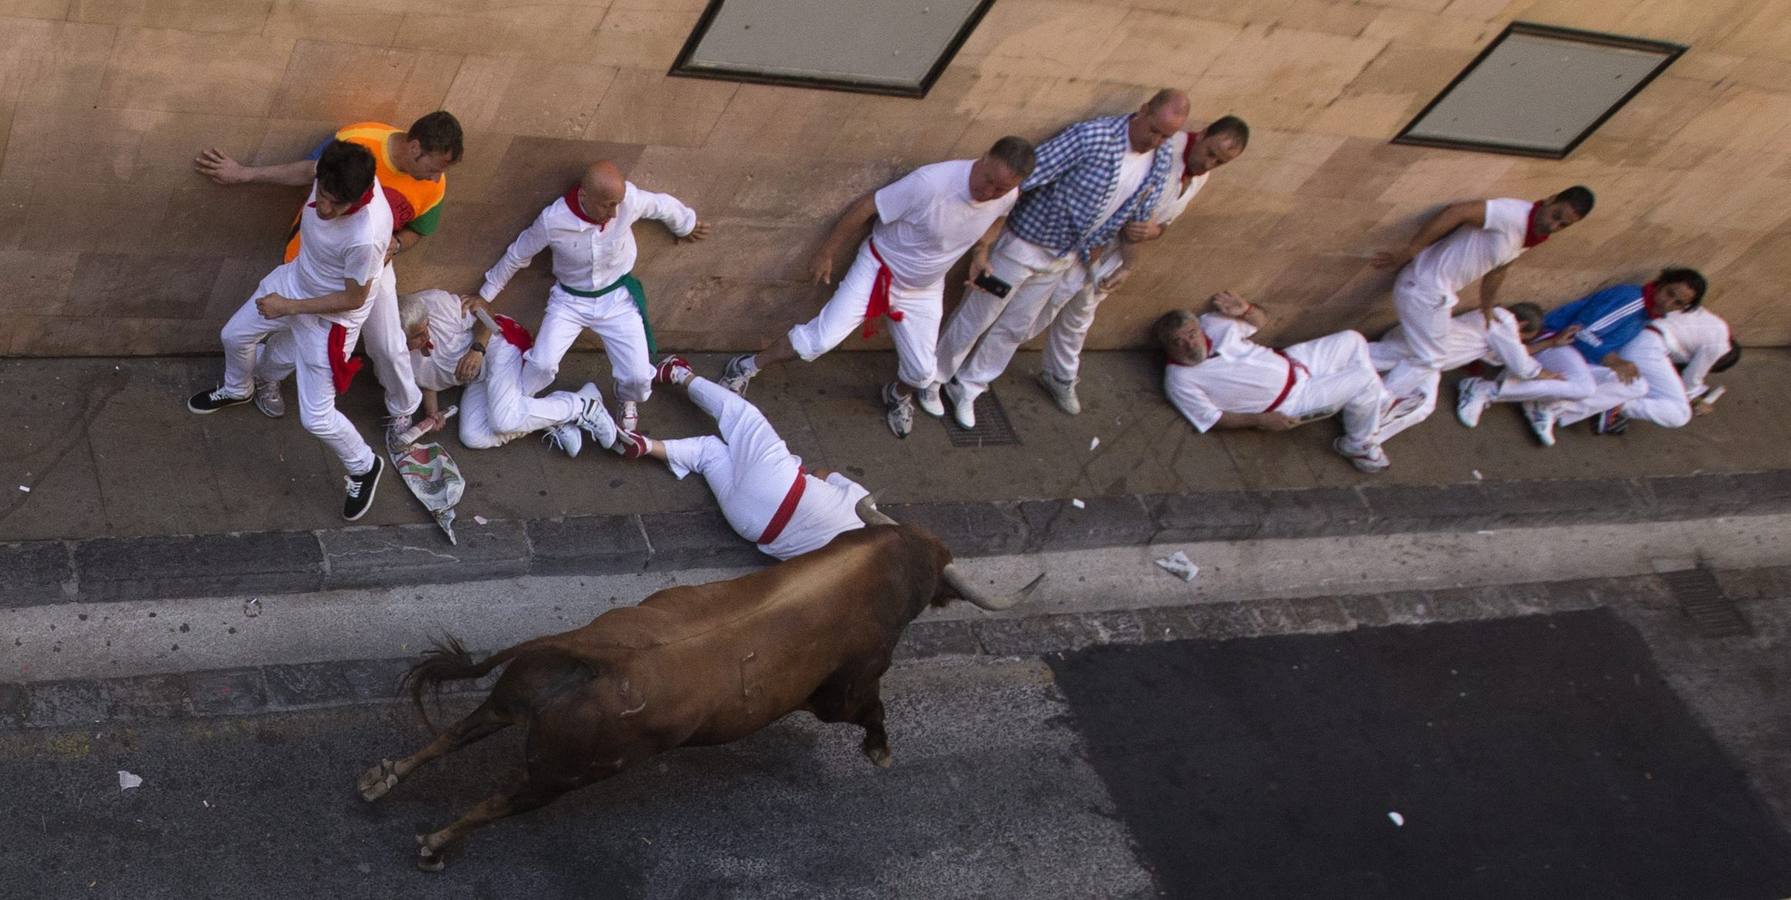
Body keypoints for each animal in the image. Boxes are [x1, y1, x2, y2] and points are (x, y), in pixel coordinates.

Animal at [356, 500, 1045, 873]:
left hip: (513, 702)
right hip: (561, 774)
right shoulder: (845, 691)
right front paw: (880, 752)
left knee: (453, 736)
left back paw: (381, 779)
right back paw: (434, 844)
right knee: (497, 799)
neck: (879, 562)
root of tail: (590, 653)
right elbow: (872, 711)